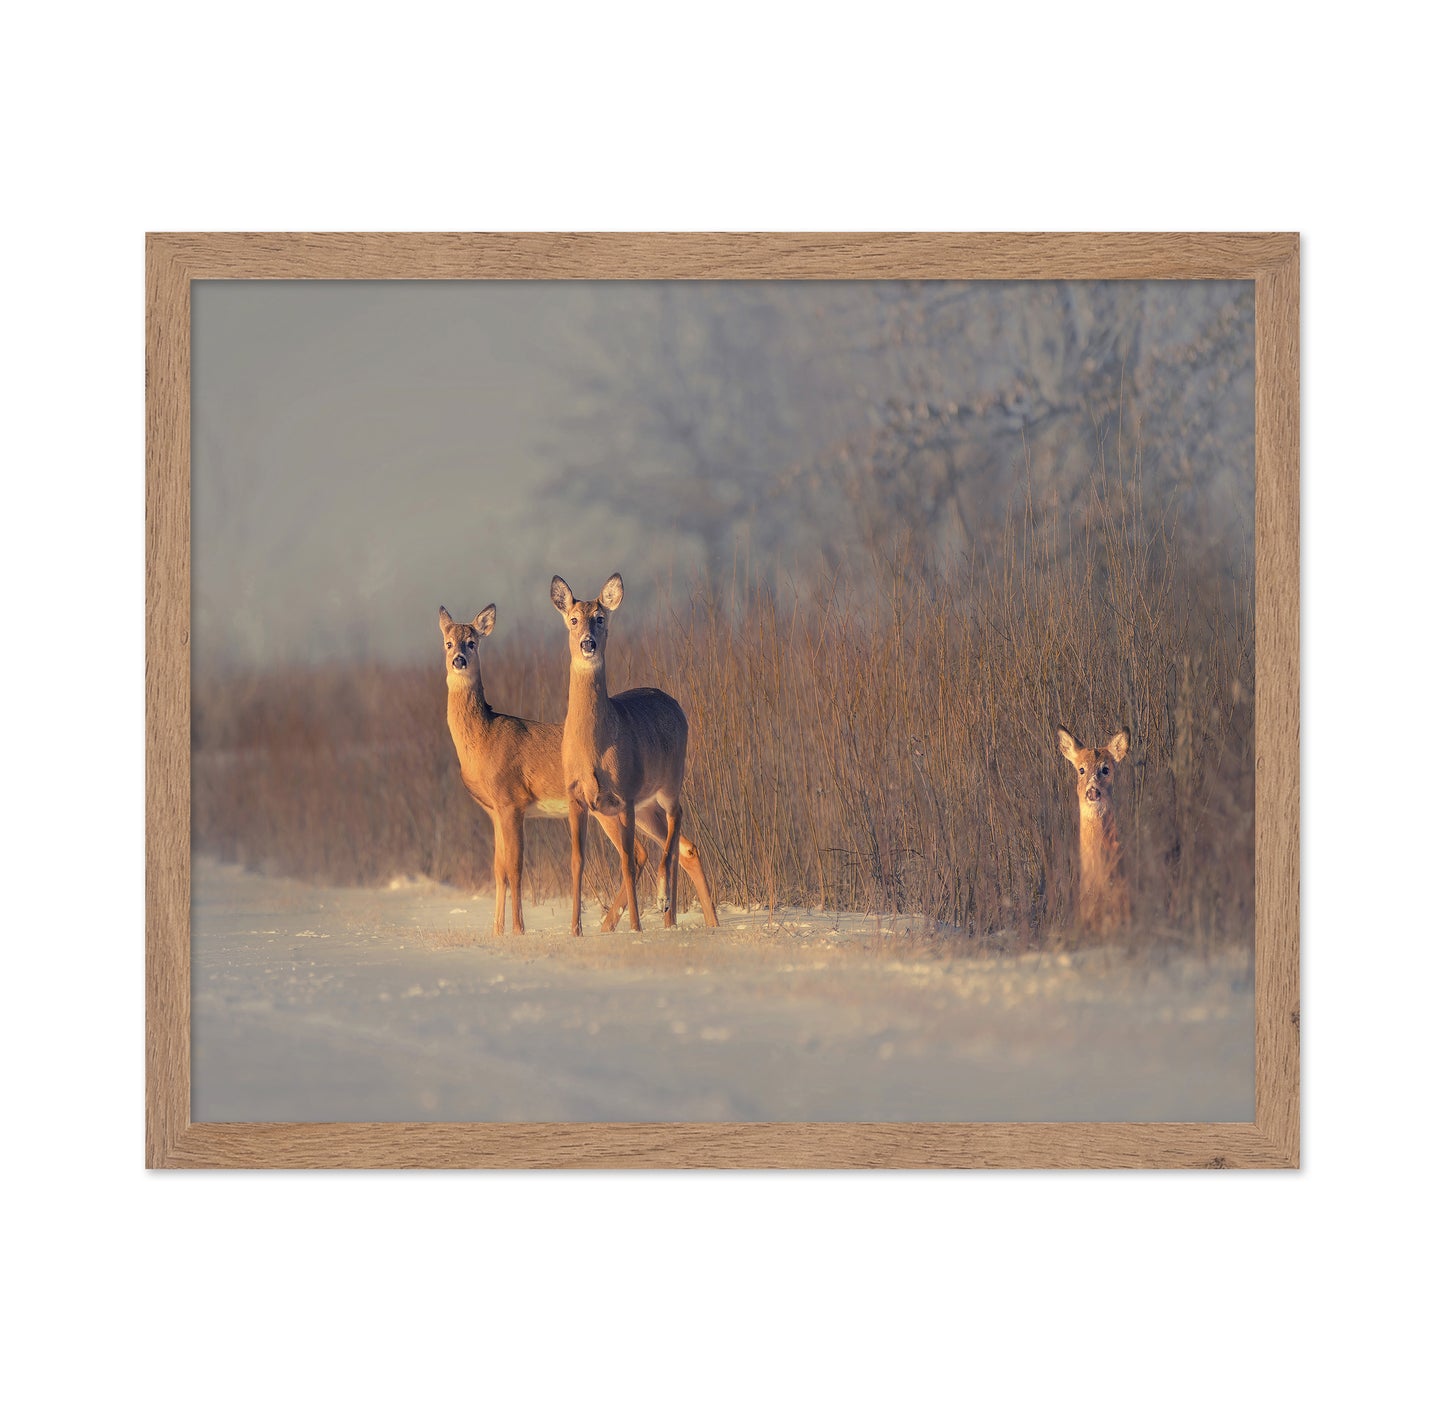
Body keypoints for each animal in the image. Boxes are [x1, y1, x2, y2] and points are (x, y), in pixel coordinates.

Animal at [439, 603, 653, 936]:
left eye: (472, 643)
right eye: (448, 643)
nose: (458, 660)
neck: (483, 740)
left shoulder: (512, 801)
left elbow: (515, 867)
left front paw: (518, 929)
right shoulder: (494, 811)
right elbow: (498, 869)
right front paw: (496, 931)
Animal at [550, 573, 718, 937]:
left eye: (601, 618)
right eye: (573, 619)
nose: (587, 643)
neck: (594, 748)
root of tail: (674, 702)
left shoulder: (624, 794)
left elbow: (626, 860)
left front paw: (637, 926)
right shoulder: (577, 797)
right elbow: (577, 861)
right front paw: (575, 930)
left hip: (669, 781)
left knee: (675, 823)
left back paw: (664, 903)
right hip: (644, 807)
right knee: (682, 846)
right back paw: (692, 920)